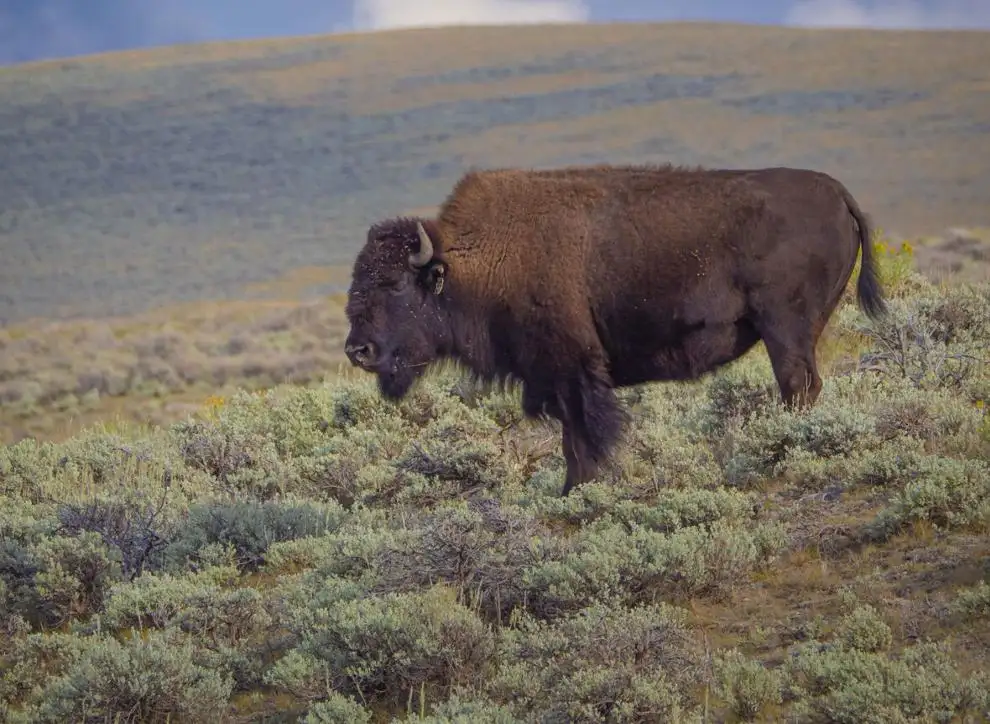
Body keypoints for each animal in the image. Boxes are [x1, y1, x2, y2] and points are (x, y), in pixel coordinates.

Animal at [344, 163, 887, 496]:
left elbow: (585, 437)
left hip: (784, 329)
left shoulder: (573, 372)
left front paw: (580, 491)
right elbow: (573, 438)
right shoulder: (555, 379)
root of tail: (838, 194)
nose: (358, 350)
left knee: (796, 385)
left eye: (395, 284)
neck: (477, 261)